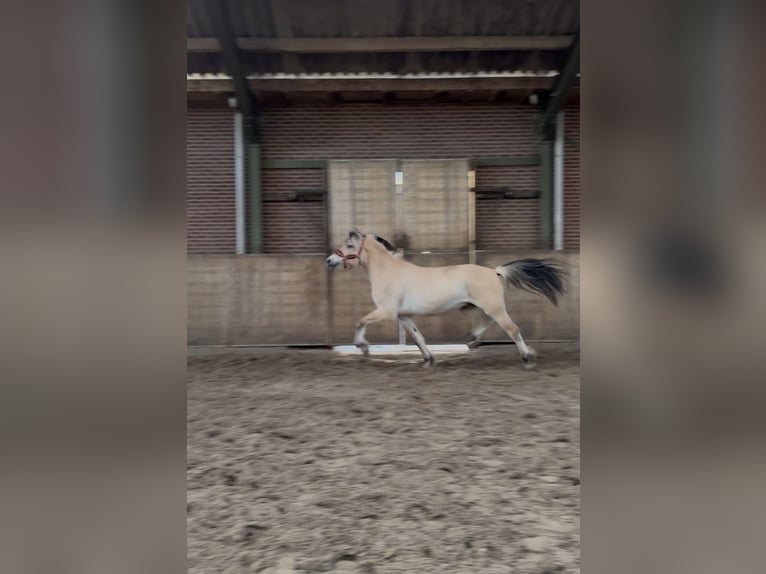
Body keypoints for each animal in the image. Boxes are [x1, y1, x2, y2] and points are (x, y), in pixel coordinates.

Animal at [326, 230, 565, 368]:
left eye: (349, 245)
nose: (329, 261)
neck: (388, 272)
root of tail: (495, 271)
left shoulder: (387, 312)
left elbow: (360, 322)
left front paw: (363, 346)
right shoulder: (403, 316)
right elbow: (418, 337)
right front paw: (428, 360)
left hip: (493, 307)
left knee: (512, 329)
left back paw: (527, 357)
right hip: (470, 307)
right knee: (485, 322)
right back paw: (471, 339)